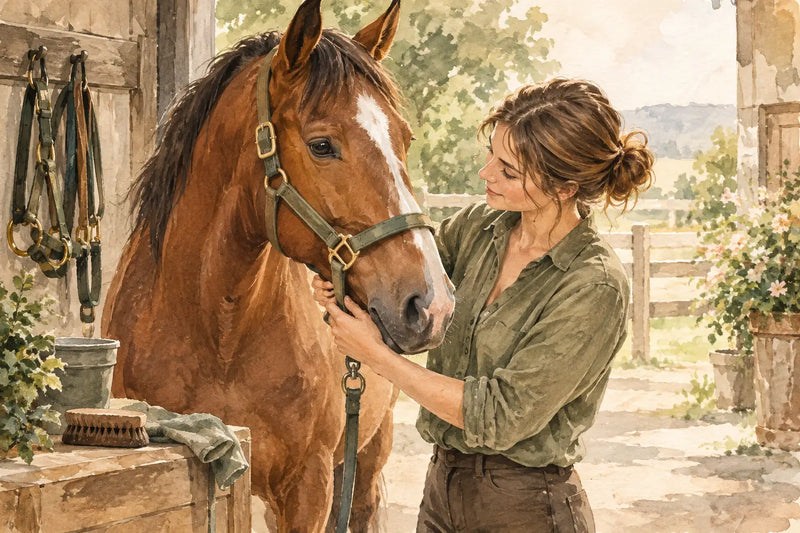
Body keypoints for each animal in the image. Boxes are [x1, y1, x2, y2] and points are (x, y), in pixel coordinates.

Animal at [101, 0, 455, 530]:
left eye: (405, 139)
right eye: (322, 144)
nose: (432, 304)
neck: (220, 331)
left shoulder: (309, 485)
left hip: (371, 449)